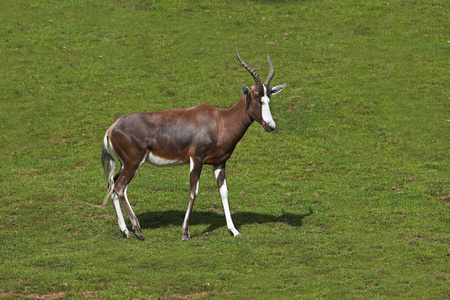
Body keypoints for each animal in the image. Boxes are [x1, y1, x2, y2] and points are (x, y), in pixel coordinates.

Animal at [101, 49, 284, 241]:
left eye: (268, 98)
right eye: (256, 97)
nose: (270, 126)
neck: (219, 121)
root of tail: (112, 128)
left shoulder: (220, 163)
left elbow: (224, 192)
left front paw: (234, 231)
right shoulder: (196, 159)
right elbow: (193, 191)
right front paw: (185, 233)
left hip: (125, 164)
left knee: (112, 185)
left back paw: (126, 231)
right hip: (133, 163)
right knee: (120, 187)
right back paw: (138, 231)